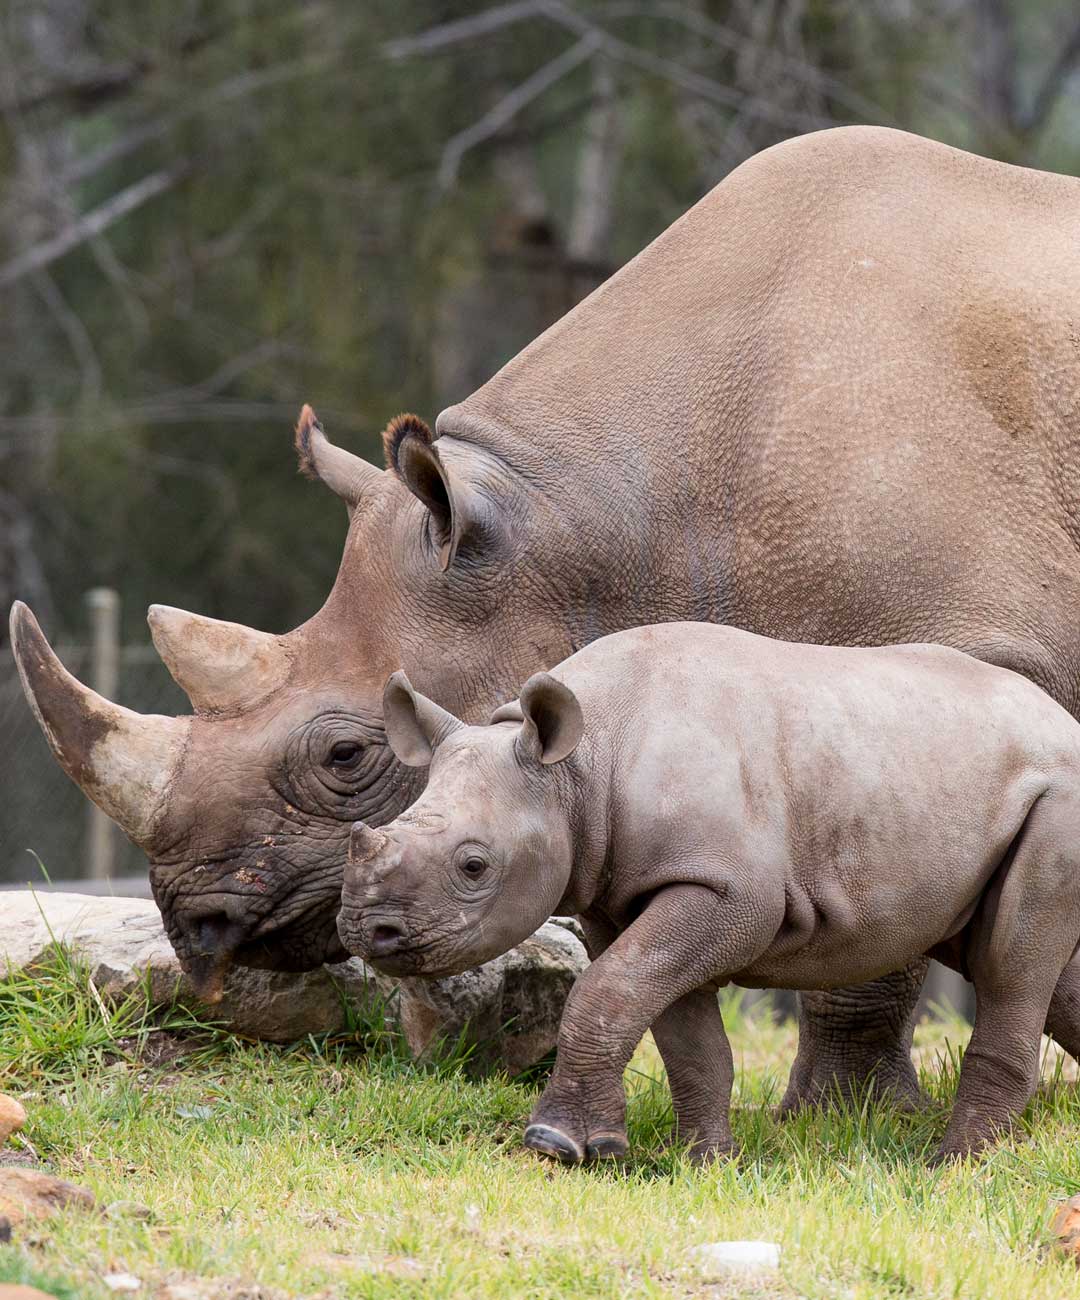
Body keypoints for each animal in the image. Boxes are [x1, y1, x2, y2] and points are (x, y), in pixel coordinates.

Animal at [337, 624, 1080, 1164]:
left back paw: (952, 1169)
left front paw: (557, 1147)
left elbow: (607, 990)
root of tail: (1064, 723)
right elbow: (672, 1025)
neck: (580, 767)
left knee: (1009, 967)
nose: (367, 930)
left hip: (1057, 798)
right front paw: (703, 1162)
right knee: (1049, 975)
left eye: (473, 866)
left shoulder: (727, 890)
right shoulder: (620, 894)